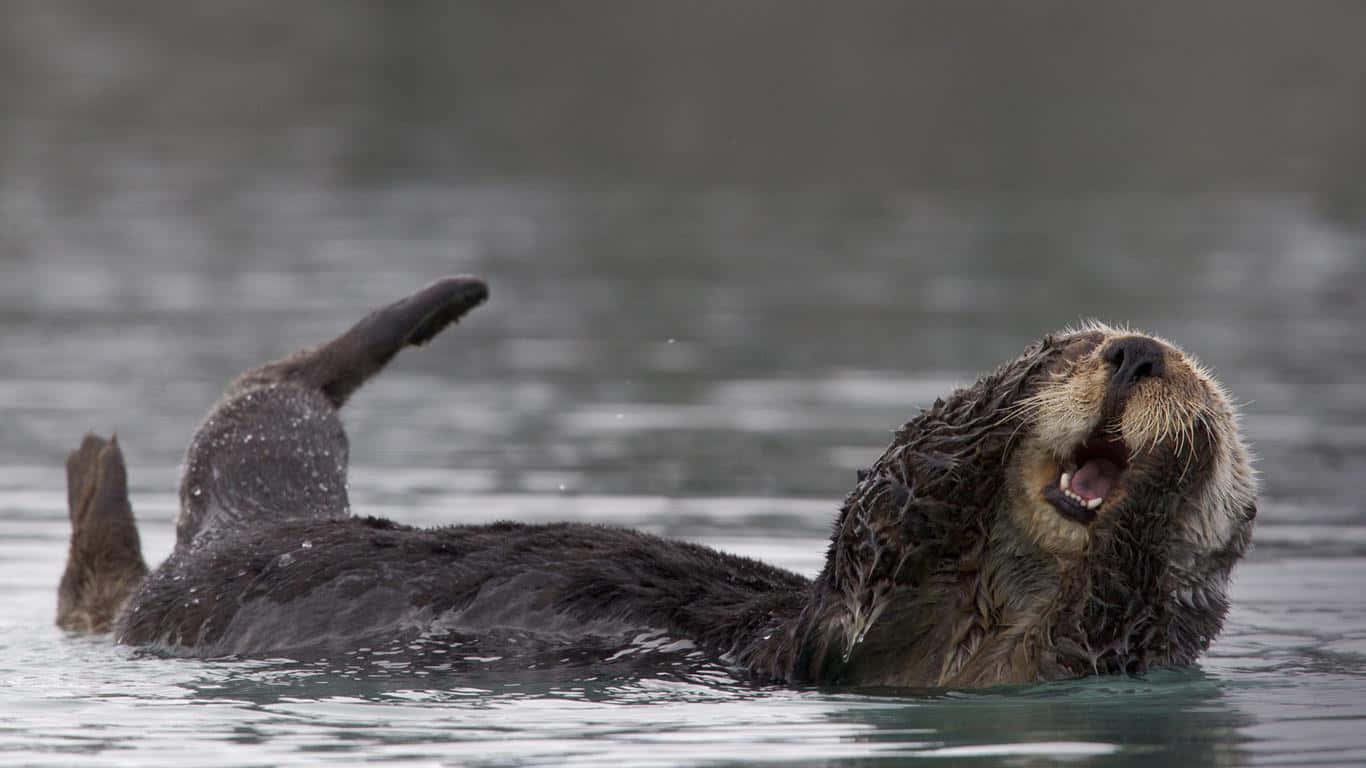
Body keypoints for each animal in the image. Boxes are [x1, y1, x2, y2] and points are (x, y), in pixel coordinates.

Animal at [56, 277, 1256, 688]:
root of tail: (256, 532)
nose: (1137, 354)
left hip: (211, 558)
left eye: (1204, 390)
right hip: (257, 494)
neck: (995, 602)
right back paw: (444, 299)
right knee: (278, 392)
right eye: (1077, 348)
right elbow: (897, 491)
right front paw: (1008, 387)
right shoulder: (860, 600)